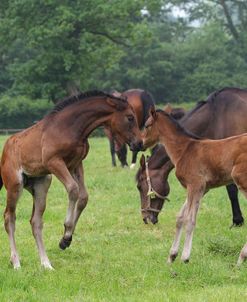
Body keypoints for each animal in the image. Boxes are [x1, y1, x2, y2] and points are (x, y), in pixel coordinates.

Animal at [0, 90, 143, 268]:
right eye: (130, 117)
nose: (139, 143)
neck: (69, 127)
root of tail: (6, 149)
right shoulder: (54, 162)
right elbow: (73, 189)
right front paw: (67, 231)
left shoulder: (76, 164)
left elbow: (83, 197)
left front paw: (65, 240)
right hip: (15, 185)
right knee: (9, 218)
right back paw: (16, 262)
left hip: (41, 184)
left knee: (35, 222)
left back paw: (46, 264)